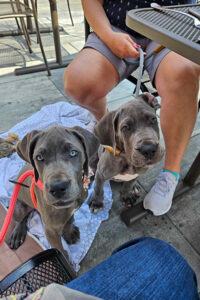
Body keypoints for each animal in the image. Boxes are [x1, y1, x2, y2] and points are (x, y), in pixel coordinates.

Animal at [8, 125, 99, 258]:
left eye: (73, 153)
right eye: (39, 157)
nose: (58, 187)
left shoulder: (71, 210)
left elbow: (70, 220)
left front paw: (69, 233)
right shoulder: (50, 231)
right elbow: (61, 252)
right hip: (16, 207)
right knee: (20, 219)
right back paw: (17, 234)